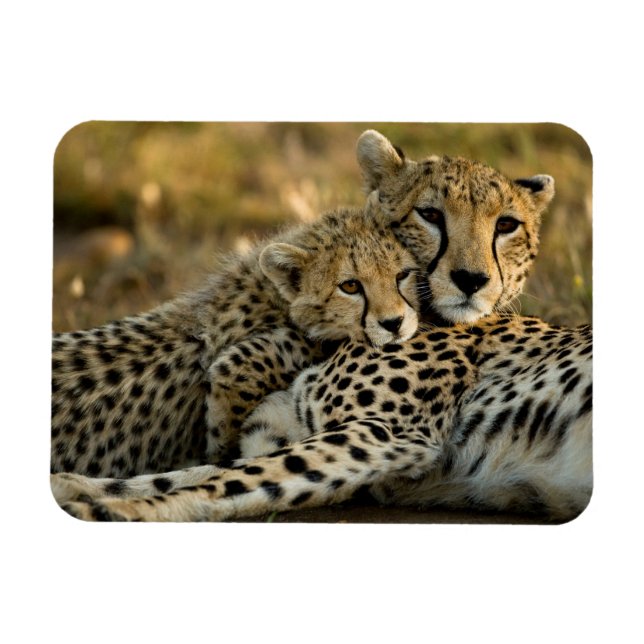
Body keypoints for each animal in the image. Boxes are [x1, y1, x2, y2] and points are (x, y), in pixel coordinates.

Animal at [52, 204, 420, 478]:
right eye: (350, 286)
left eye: (403, 275)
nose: (394, 323)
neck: (271, 294)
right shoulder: (246, 362)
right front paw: (220, 453)